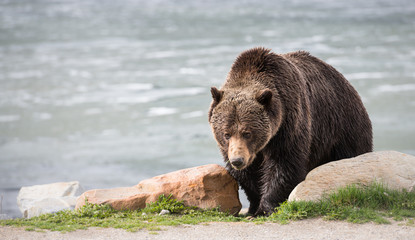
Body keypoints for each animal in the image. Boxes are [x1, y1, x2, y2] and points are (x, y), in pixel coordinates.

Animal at [208, 47, 374, 216]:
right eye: (226, 134)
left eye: (247, 133)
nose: (237, 160)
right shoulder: (234, 149)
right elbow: (248, 175)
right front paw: (253, 208)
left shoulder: (289, 124)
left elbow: (284, 164)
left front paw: (265, 208)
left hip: (343, 127)